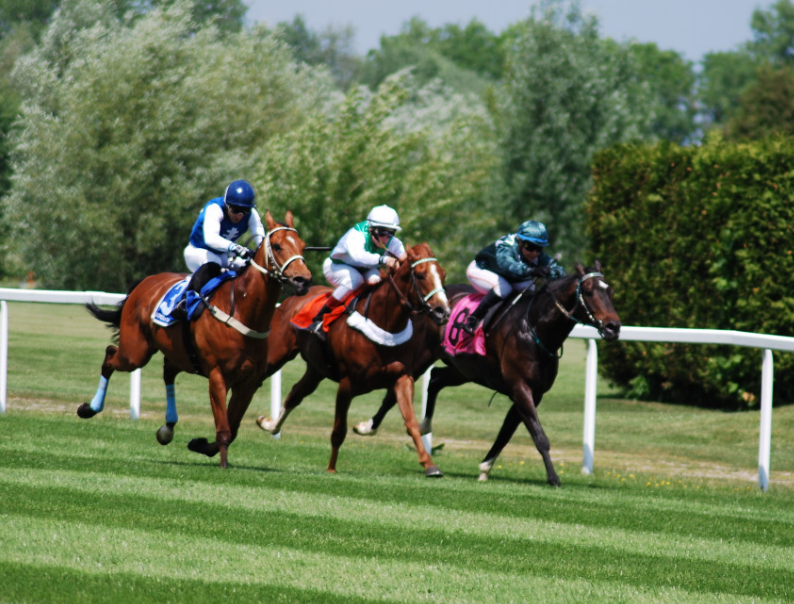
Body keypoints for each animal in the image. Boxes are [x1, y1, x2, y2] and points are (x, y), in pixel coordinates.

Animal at [77, 211, 312, 468]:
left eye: (302, 245)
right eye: (278, 246)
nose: (303, 280)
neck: (242, 309)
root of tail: (146, 282)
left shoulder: (249, 382)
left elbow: (233, 427)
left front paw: (201, 445)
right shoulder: (218, 376)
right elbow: (224, 429)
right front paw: (223, 465)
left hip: (178, 353)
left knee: (168, 371)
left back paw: (167, 428)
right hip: (135, 352)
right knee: (110, 355)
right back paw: (90, 408)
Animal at [254, 243, 451, 476]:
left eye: (443, 274)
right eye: (420, 275)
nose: (443, 312)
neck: (384, 325)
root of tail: (292, 298)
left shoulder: (403, 378)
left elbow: (411, 422)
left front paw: (430, 465)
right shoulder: (347, 384)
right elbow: (339, 430)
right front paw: (331, 468)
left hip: (316, 370)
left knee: (295, 394)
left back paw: (269, 425)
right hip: (276, 355)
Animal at [353, 261, 621, 486]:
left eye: (610, 291)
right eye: (588, 291)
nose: (613, 327)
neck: (535, 328)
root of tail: (427, 303)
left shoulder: (532, 393)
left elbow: (506, 432)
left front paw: (485, 468)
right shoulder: (520, 388)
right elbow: (539, 436)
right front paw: (554, 478)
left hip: (463, 369)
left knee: (436, 378)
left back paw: (425, 423)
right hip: (421, 357)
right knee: (395, 391)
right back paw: (368, 427)